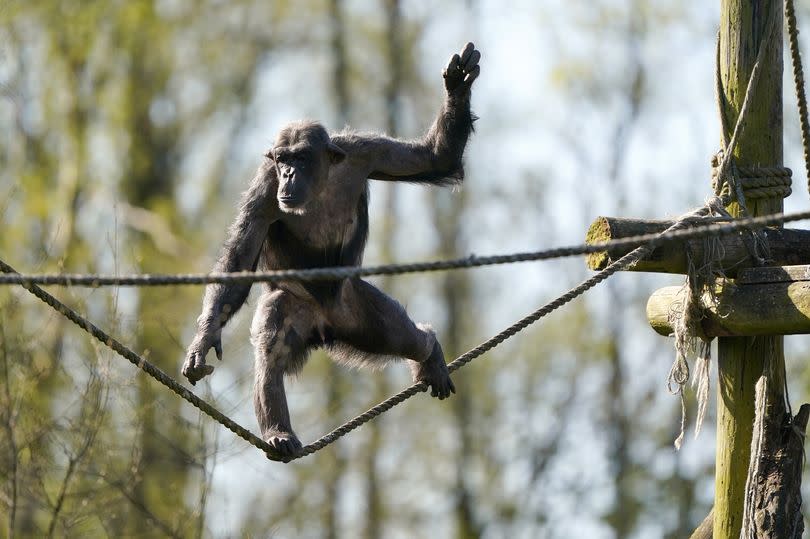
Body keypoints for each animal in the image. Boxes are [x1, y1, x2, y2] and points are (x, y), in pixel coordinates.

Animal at [183, 43, 480, 456]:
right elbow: (239, 260)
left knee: (399, 332)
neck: (319, 182)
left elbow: (433, 158)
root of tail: (325, 328)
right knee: (274, 339)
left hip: (358, 311)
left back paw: (429, 351)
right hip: (300, 308)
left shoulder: (366, 152)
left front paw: (457, 85)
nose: (289, 173)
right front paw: (205, 337)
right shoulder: (264, 187)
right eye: (282, 158)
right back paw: (278, 432)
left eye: (299, 157)